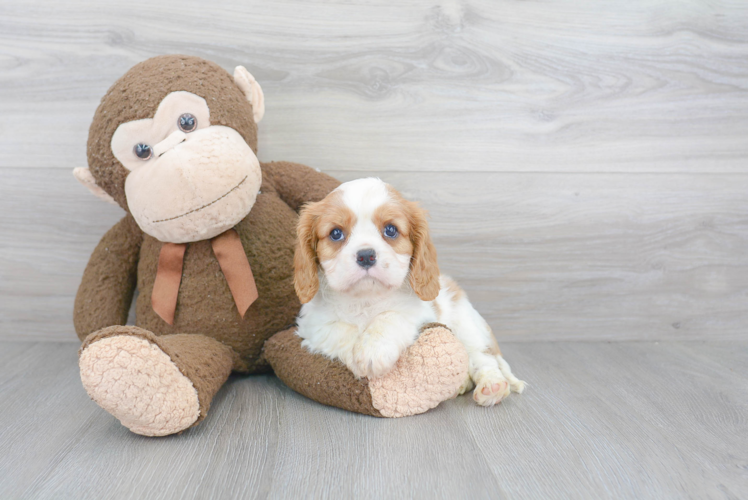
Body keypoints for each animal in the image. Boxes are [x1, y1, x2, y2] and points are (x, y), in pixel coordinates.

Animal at [294, 178, 524, 404]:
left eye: (391, 230)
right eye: (336, 233)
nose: (366, 255)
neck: (366, 299)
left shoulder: (418, 311)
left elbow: (389, 317)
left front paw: (373, 352)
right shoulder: (314, 325)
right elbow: (342, 330)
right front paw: (358, 356)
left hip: (466, 326)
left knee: (482, 357)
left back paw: (492, 386)